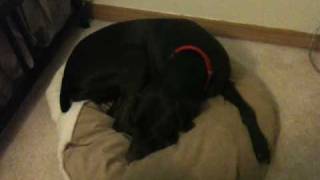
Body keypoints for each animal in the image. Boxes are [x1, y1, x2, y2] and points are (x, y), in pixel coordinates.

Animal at [60, 18, 270, 163]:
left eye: (155, 133)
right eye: (136, 128)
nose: (128, 159)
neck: (190, 60)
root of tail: (67, 72)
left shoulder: (224, 83)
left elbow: (247, 110)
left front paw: (260, 146)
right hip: (135, 58)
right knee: (118, 120)